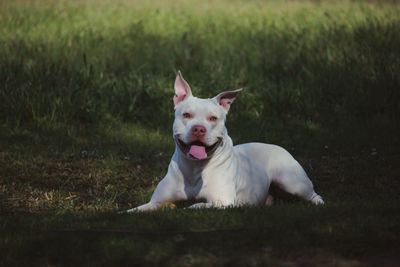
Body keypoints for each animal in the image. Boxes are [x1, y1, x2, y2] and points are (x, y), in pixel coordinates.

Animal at [126, 72, 324, 213]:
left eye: (213, 118)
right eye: (187, 115)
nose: (199, 129)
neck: (194, 169)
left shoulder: (222, 202)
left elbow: (195, 206)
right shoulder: (155, 202)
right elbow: (135, 210)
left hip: (292, 182)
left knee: (314, 195)